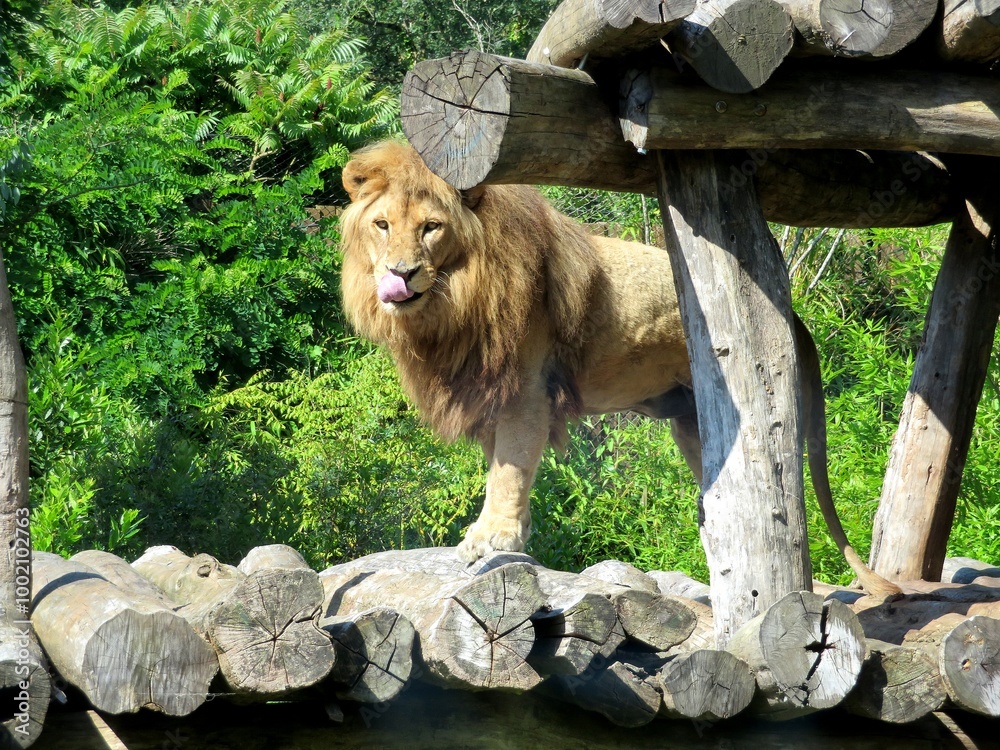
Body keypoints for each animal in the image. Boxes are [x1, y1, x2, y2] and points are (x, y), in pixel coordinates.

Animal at [339, 140, 900, 597]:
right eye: (382, 225)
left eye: (431, 228)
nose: (401, 273)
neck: (451, 302)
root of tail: (792, 314)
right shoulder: (488, 391)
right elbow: (501, 466)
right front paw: (506, 534)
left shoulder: (526, 391)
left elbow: (509, 468)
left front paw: (492, 536)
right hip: (693, 425)